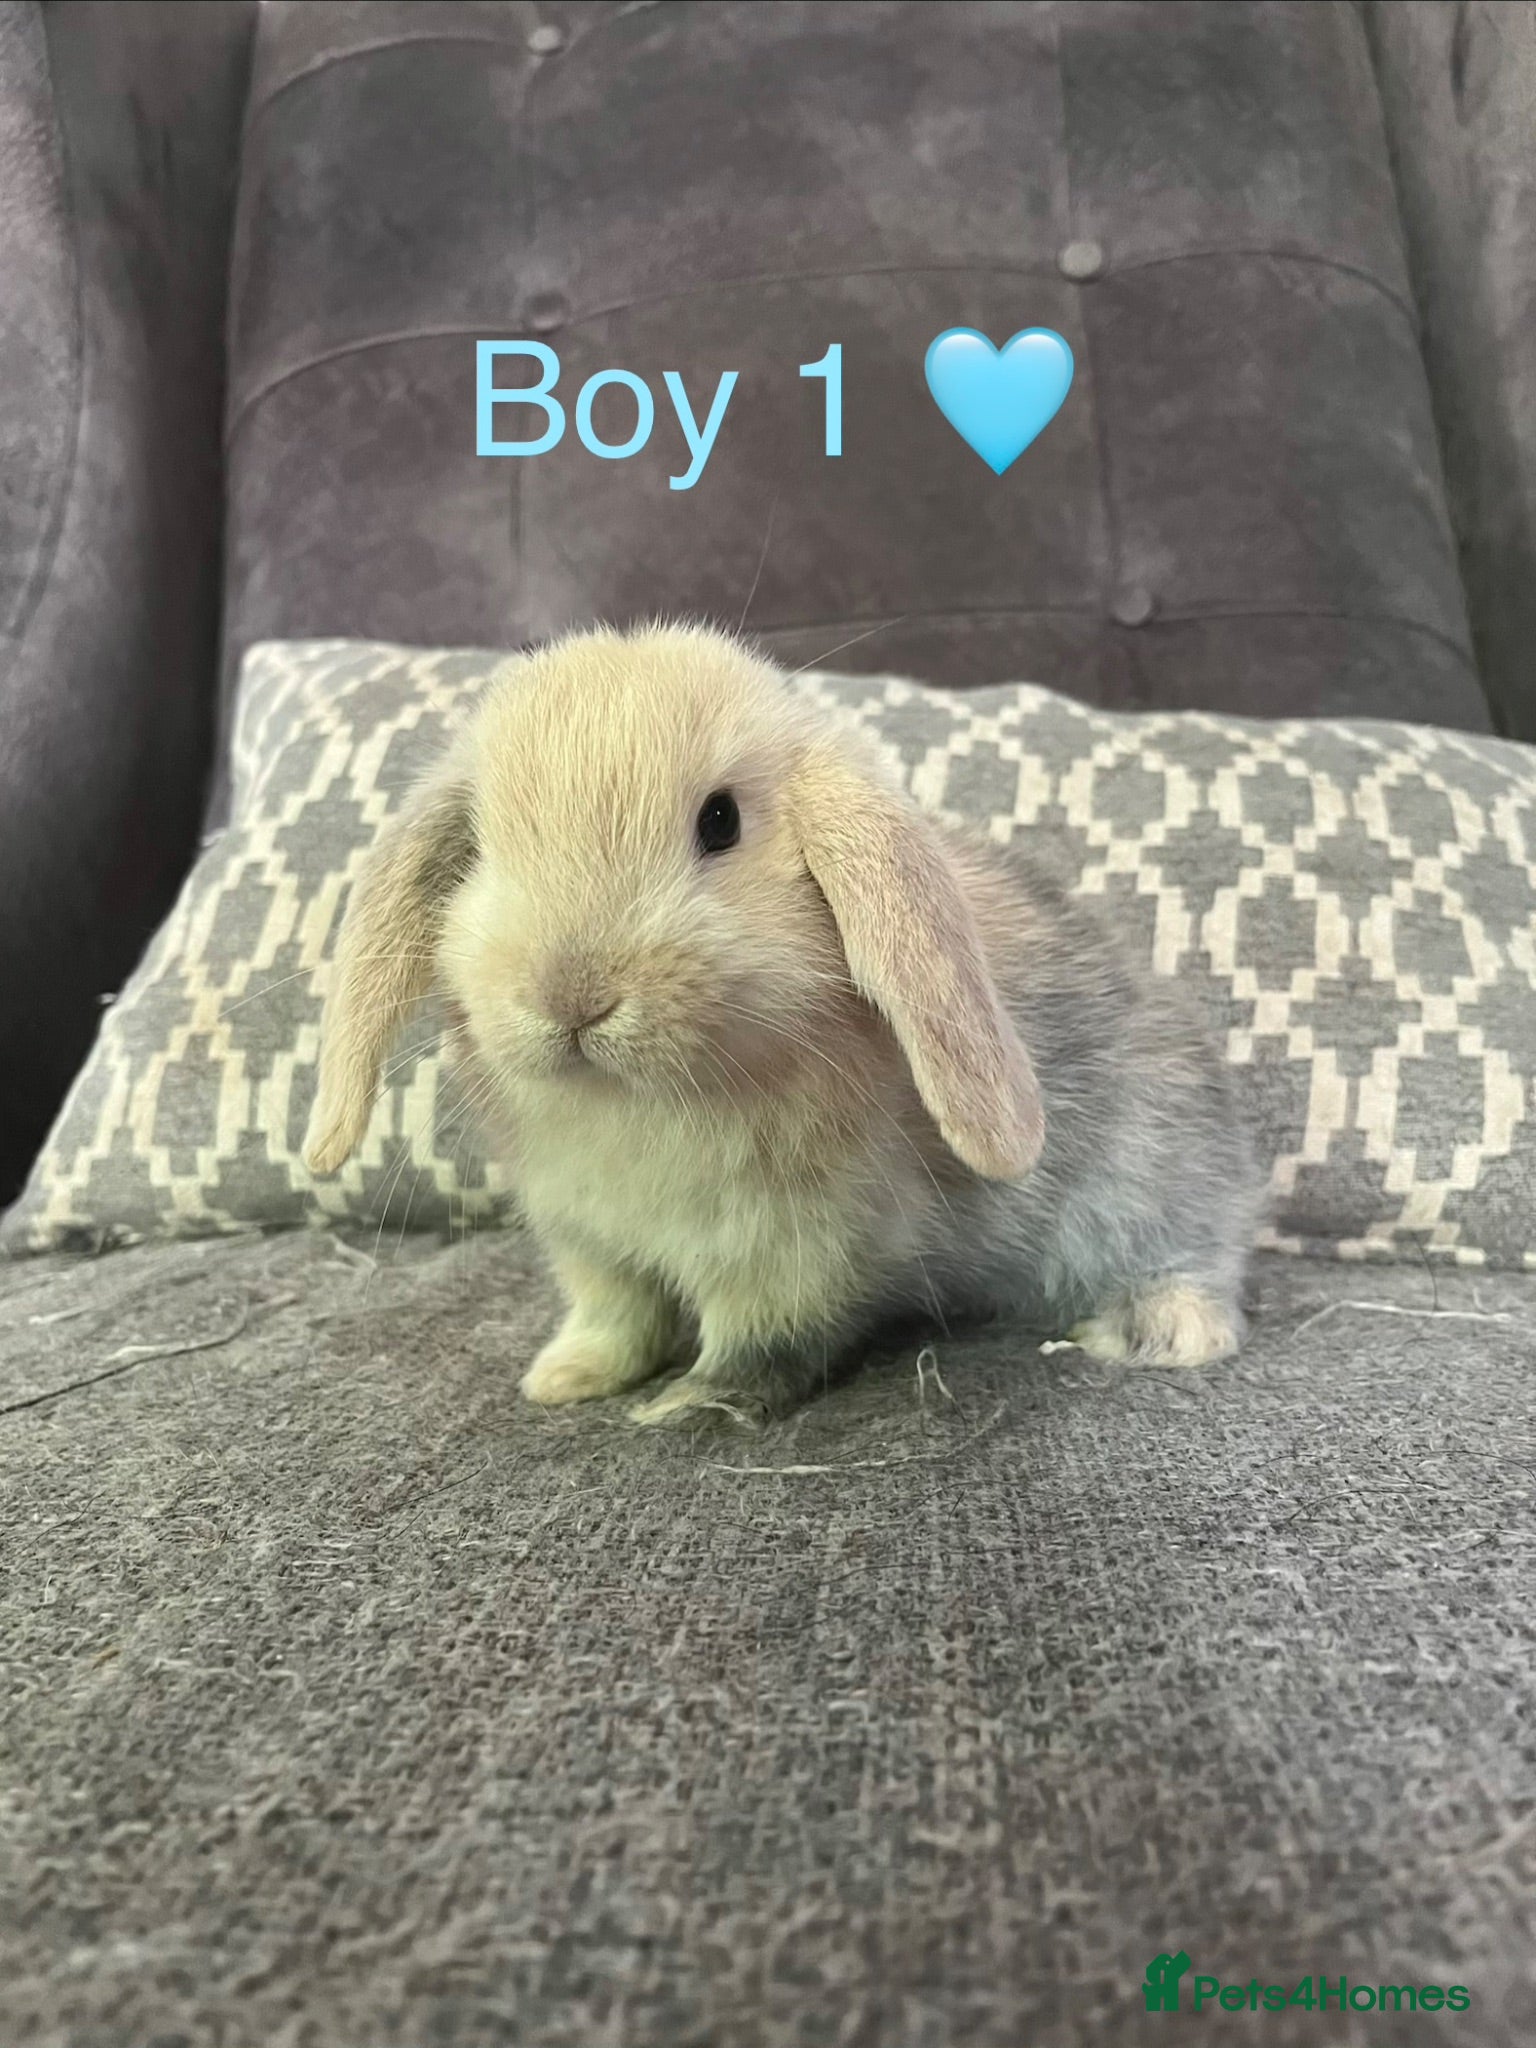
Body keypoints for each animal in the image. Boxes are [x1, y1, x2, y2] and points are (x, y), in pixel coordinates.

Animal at [305, 621, 1265, 1426]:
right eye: (478, 846)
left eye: (720, 821)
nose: (570, 997)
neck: (632, 1102)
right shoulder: (592, 1243)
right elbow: (616, 1318)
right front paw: (564, 1379)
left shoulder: (792, 1253)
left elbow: (758, 1341)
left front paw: (685, 1406)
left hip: (1154, 1182)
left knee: (1198, 1267)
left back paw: (1149, 1330)